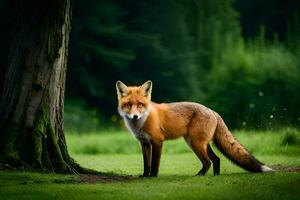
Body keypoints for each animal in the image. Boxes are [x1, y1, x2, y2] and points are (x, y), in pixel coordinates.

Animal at [116, 79, 274, 177]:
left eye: (140, 105)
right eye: (128, 105)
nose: (135, 116)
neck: (142, 121)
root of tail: (212, 111)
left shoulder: (157, 141)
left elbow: (154, 164)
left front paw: (153, 176)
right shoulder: (144, 143)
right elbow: (146, 164)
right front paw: (145, 176)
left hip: (196, 143)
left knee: (208, 161)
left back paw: (200, 175)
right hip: (200, 143)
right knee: (216, 160)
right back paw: (215, 176)